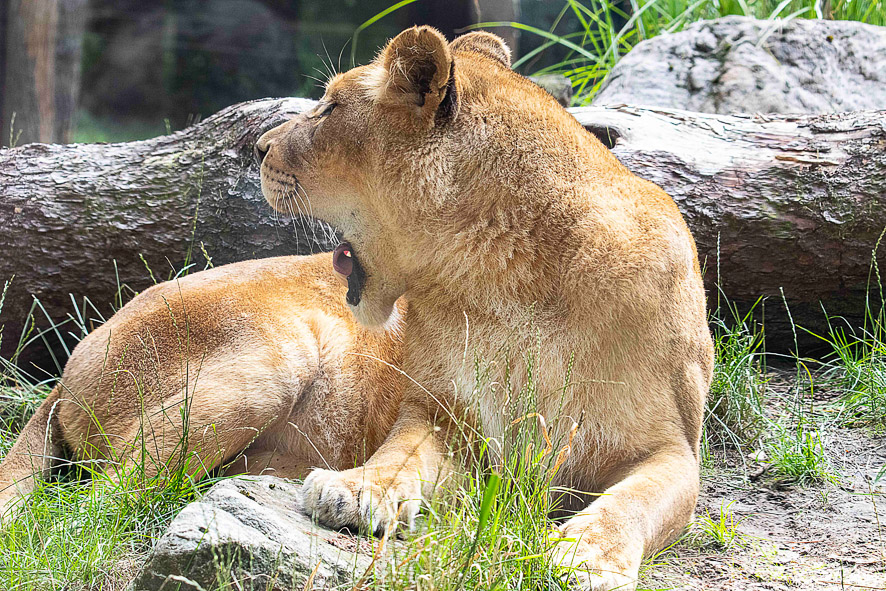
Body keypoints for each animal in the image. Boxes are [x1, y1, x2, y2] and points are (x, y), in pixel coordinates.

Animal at [255, 27, 714, 590]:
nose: (257, 147)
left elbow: (631, 502)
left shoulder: (673, 448)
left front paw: (584, 556)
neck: (503, 281)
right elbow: (398, 454)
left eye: (330, 107)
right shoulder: (443, 416)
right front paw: (358, 488)